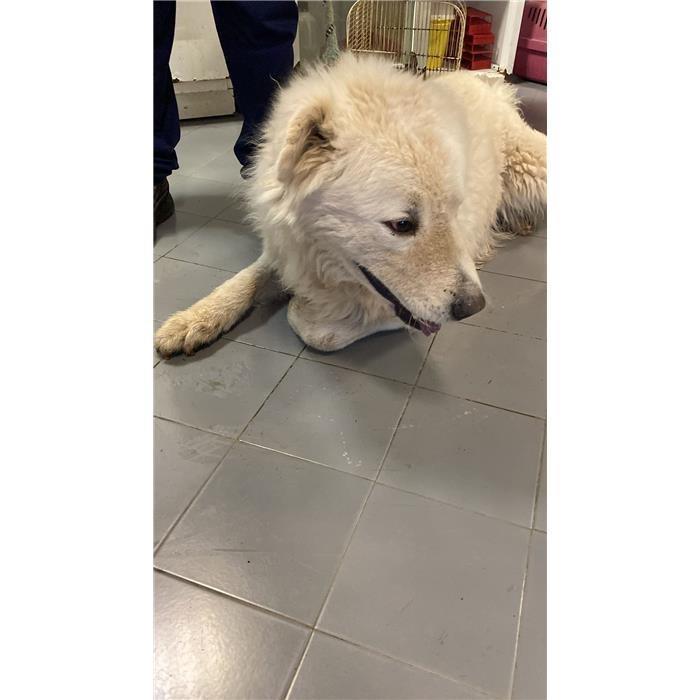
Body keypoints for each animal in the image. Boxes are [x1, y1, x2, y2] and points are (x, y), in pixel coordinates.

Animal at [155, 54, 546, 357]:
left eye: (454, 211)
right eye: (402, 224)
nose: (473, 307)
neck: (324, 263)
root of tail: (483, 81)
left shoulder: (400, 308)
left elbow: (321, 332)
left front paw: (301, 308)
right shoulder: (287, 249)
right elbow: (244, 280)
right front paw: (193, 320)